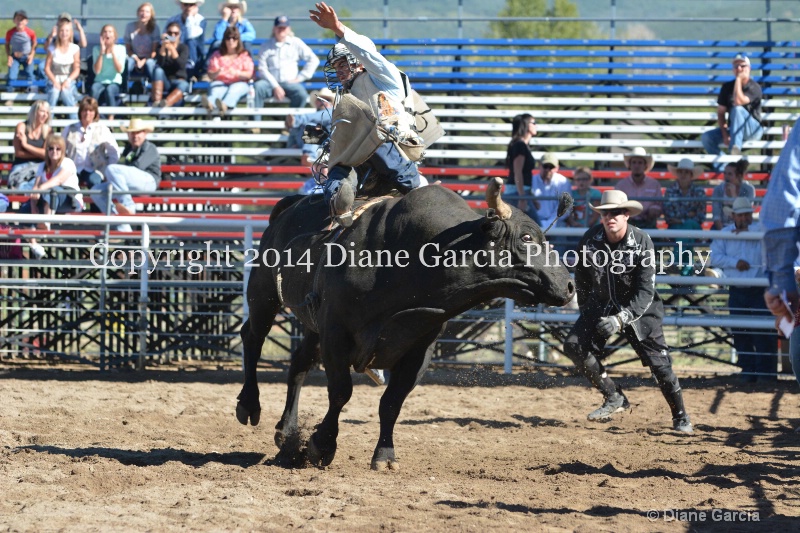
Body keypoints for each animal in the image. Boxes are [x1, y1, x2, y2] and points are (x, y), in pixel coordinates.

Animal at [236, 180, 576, 470]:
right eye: (527, 237)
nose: (569, 285)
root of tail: (288, 206)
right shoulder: (336, 333)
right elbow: (341, 392)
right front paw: (322, 445)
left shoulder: (419, 347)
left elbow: (392, 403)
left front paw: (384, 456)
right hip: (264, 294)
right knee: (252, 337)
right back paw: (249, 405)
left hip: (311, 326)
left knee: (298, 365)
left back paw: (286, 431)